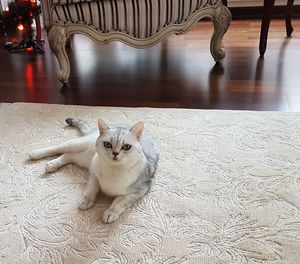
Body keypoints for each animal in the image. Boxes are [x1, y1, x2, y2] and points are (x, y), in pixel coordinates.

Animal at [28, 117, 159, 223]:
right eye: (107, 144)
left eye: (126, 147)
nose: (115, 153)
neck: (113, 171)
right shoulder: (94, 176)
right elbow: (91, 189)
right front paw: (86, 201)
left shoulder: (138, 191)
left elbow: (120, 202)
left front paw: (111, 212)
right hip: (78, 145)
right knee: (59, 148)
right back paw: (36, 154)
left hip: (82, 158)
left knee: (68, 155)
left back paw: (52, 164)